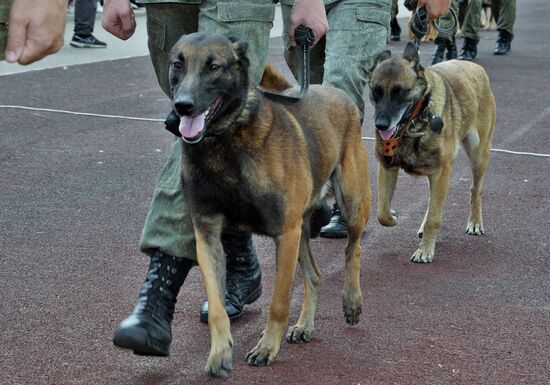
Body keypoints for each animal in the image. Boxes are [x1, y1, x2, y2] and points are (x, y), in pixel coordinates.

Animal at [170, 32, 374, 376]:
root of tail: (333, 91)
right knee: (315, 275)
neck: (225, 142)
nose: (182, 107)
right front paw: (219, 352)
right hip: (302, 232)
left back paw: (352, 301)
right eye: (177, 64)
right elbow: (217, 307)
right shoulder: (207, 235)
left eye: (214, 66)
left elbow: (279, 302)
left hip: (351, 203)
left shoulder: (285, 233)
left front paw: (266, 347)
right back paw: (305, 325)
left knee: (353, 250)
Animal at [368, 43, 498, 262]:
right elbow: (382, 213)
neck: (414, 123)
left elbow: (434, 219)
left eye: (399, 92)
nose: (381, 125)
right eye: (375, 91)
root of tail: (474, 66)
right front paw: (393, 216)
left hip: (478, 156)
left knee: (476, 189)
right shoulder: (387, 168)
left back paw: (474, 222)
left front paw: (425, 250)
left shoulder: (441, 172)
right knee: (431, 202)